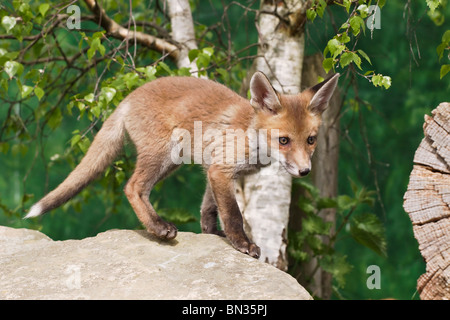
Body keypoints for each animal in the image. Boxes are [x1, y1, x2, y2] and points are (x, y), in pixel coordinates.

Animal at [25, 72, 338, 258]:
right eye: (284, 140)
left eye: (310, 140)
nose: (305, 171)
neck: (251, 135)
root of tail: (128, 97)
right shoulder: (221, 170)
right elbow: (233, 214)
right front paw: (242, 243)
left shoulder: (215, 170)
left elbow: (209, 208)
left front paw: (212, 234)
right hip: (163, 154)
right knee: (132, 187)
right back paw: (157, 226)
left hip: (172, 161)